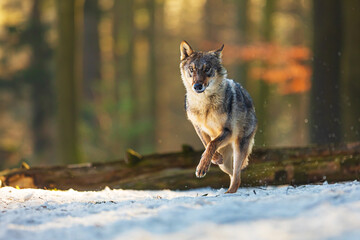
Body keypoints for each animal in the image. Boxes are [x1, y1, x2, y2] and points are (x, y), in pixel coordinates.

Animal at [179, 39, 258, 193]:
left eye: (207, 69)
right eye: (192, 69)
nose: (197, 86)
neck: (204, 105)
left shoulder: (227, 131)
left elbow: (212, 143)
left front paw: (202, 167)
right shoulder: (198, 127)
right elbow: (206, 143)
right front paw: (215, 158)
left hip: (239, 147)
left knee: (237, 177)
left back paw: (229, 193)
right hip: (225, 165)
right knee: (233, 174)